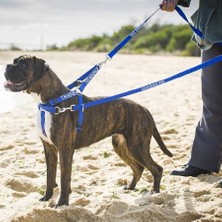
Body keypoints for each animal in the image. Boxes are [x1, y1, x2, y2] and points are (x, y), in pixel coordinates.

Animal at [3, 55, 173, 206]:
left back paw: (155, 194)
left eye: (23, 65)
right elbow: (50, 177)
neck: (50, 102)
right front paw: (47, 198)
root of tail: (144, 109)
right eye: (14, 62)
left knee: (156, 169)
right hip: (121, 146)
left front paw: (62, 203)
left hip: (137, 146)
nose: (6, 66)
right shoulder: (49, 149)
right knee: (138, 168)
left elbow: (64, 178)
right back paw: (131, 188)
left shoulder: (65, 150)